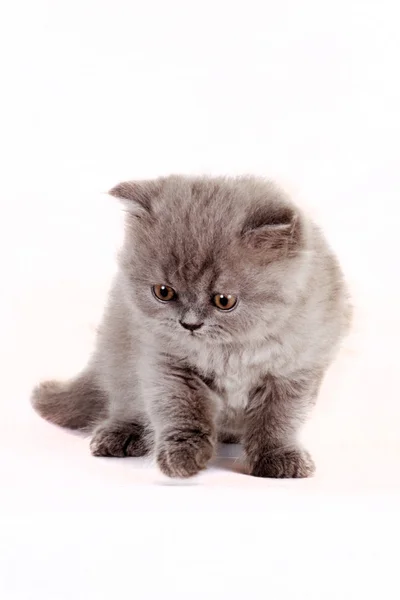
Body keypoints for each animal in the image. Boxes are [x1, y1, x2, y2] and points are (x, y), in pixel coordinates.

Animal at [31, 175, 350, 478]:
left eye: (224, 301)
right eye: (163, 292)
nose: (190, 324)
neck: (232, 350)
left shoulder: (296, 370)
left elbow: (279, 420)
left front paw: (279, 458)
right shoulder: (166, 361)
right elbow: (181, 410)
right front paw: (182, 458)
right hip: (120, 348)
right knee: (124, 400)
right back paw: (120, 435)